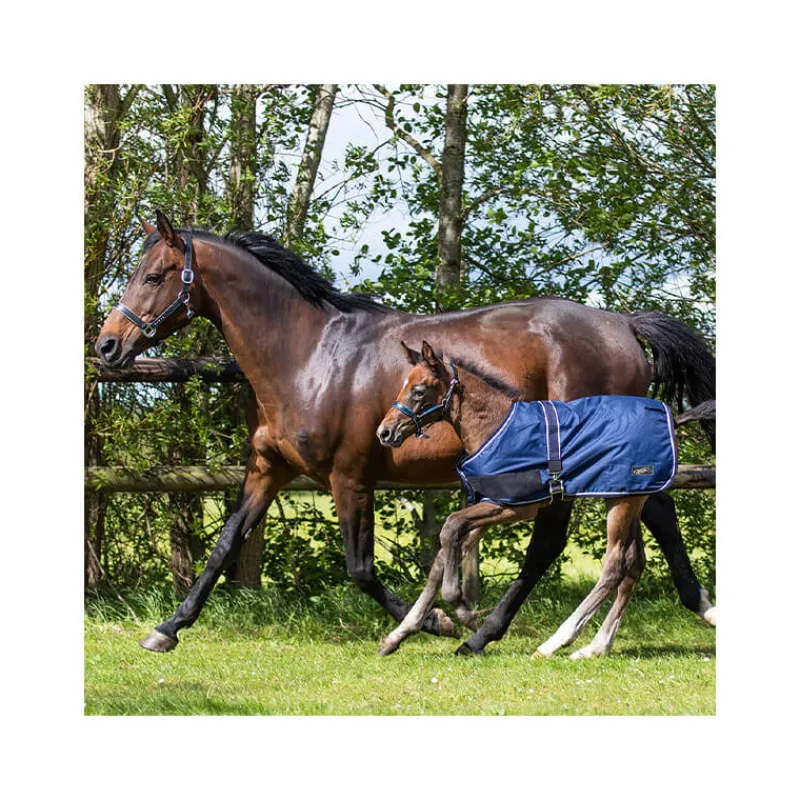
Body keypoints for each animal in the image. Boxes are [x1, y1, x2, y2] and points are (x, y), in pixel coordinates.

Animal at [376, 341, 707, 658]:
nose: (384, 432)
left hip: (623, 502)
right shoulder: (487, 504)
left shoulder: (515, 507)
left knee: (615, 564)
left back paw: (556, 642)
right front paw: (400, 635)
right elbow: (445, 550)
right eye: (403, 386)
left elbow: (451, 527)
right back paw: (596, 647)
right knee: (634, 561)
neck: (495, 427)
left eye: (419, 390)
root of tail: (672, 420)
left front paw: (460, 607)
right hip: (626, 496)